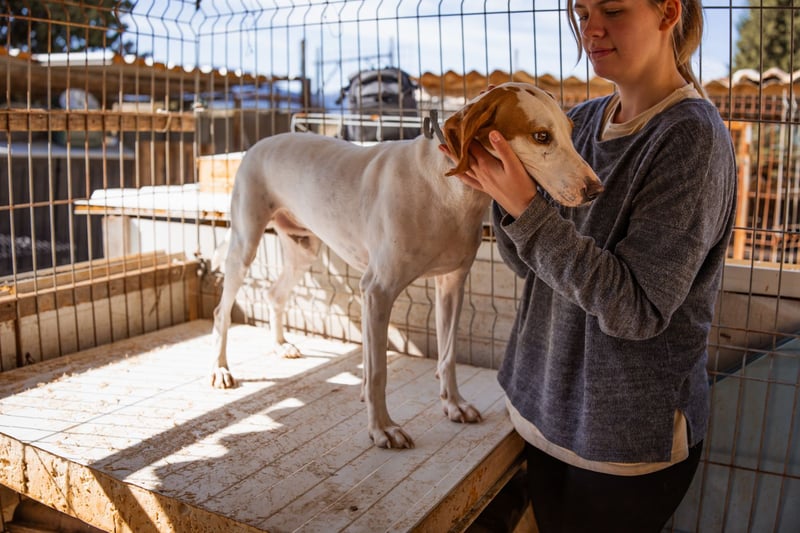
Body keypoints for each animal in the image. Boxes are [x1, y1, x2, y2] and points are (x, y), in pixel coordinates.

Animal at [211, 82, 603, 449]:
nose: (595, 189)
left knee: (275, 294)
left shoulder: (451, 285)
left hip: (302, 249)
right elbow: (378, 371)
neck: (447, 191)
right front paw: (382, 428)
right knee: (222, 310)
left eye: (570, 130)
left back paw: (281, 345)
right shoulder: (377, 292)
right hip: (244, 246)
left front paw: (453, 405)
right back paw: (221, 369)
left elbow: (447, 355)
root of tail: (261, 142)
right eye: (541, 136)